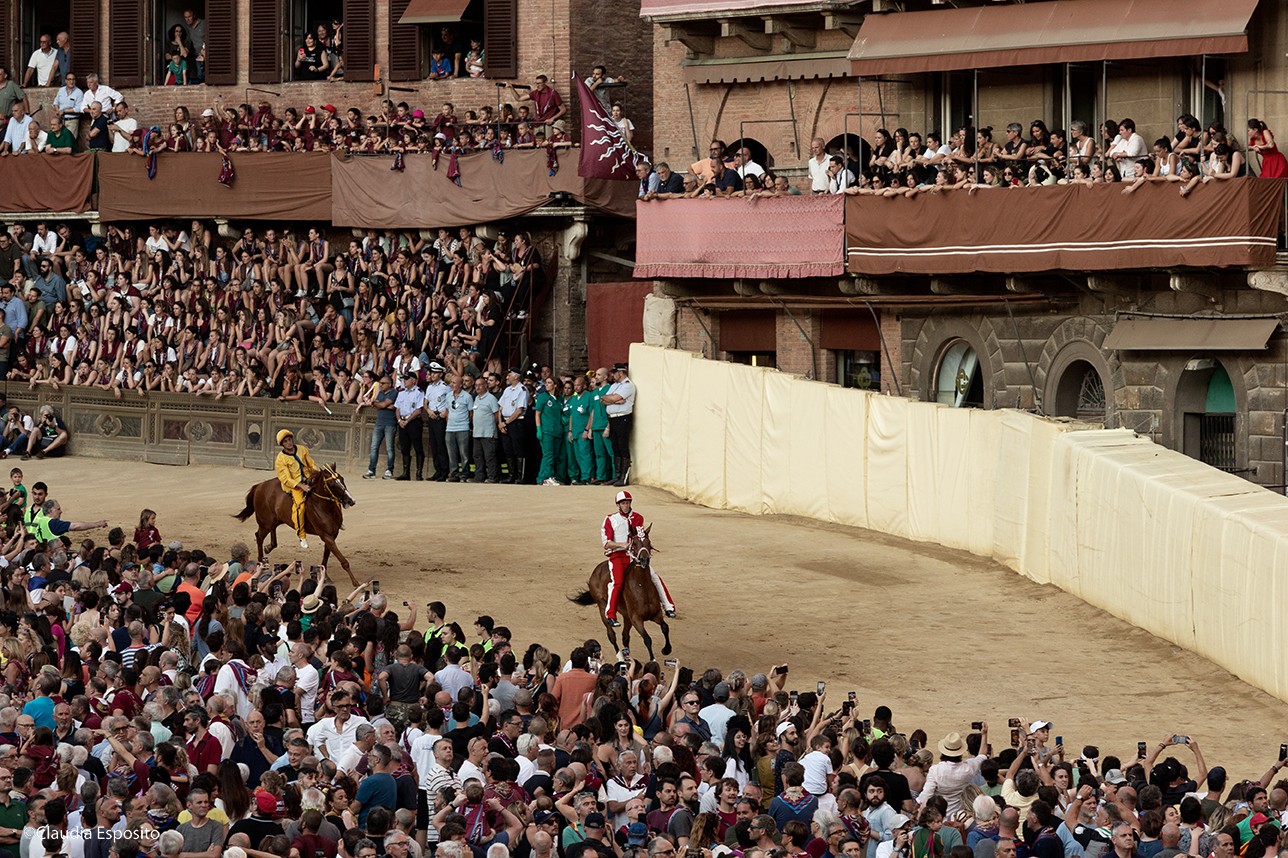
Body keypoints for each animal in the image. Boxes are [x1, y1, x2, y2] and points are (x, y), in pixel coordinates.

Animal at [569, 525, 672, 660]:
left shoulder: (655, 614)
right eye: (634, 543)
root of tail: (596, 571)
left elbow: (665, 627)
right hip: (603, 609)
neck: (642, 587)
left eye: (648, 542)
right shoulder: (636, 619)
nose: (644, 560)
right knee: (611, 634)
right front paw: (653, 660)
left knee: (625, 636)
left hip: (626, 616)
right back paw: (620, 657)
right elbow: (647, 639)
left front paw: (666, 649)